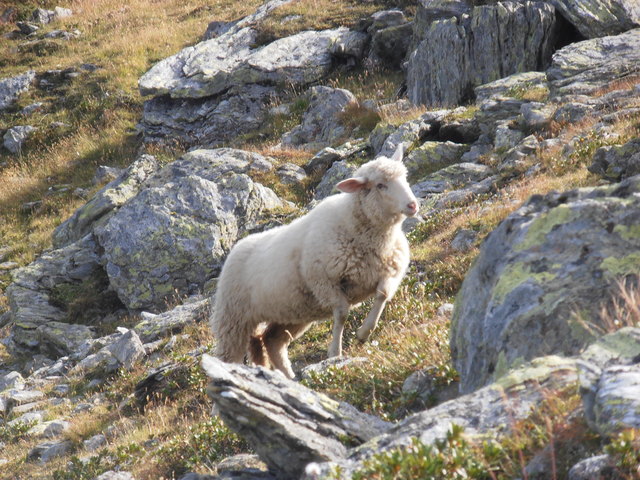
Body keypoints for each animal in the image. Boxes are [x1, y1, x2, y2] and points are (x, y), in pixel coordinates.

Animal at [210, 145, 418, 379]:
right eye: (381, 185)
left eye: (405, 177)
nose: (413, 205)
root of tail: (237, 247)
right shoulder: (325, 283)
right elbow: (342, 314)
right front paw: (335, 352)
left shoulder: (388, 272)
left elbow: (382, 295)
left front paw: (364, 333)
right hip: (233, 319)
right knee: (231, 354)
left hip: (292, 312)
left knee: (272, 341)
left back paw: (288, 378)